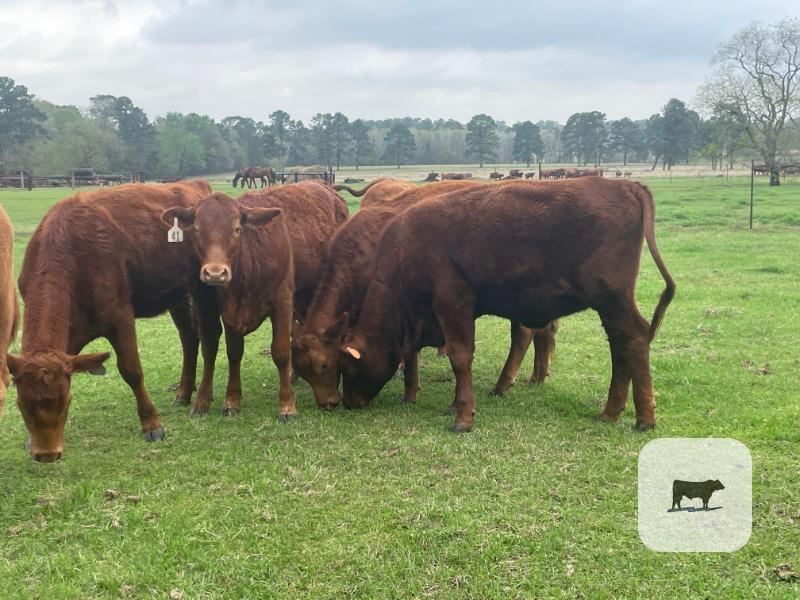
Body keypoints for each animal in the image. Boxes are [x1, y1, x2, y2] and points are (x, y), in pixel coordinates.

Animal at [7, 181, 216, 462]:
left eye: (66, 401)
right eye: (21, 405)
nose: (47, 454)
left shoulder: (120, 315)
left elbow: (132, 371)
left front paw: (152, 425)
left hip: (202, 286)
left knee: (206, 336)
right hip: (176, 294)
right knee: (188, 337)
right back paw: (183, 392)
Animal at [162, 181, 347, 418]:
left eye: (237, 229)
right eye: (196, 230)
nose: (215, 273)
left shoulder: (282, 301)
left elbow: (280, 351)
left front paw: (287, 405)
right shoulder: (214, 306)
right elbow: (225, 350)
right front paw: (223, 400)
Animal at [292, 180, 558, 410]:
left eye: (325, 364)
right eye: (304, 370)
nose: (327, 403)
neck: (365, 252)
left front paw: (410, 391)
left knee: (523, 333)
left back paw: (503, 384)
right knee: (543, 331)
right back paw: (538, 376)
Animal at [337, 178, 675, 433]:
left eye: (348, 366)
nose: (348, 403)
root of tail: (627, 186)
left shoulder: (453, 303)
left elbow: (461, 357)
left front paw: (463, 418)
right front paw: (454, 405)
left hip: (612, 300)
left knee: (633, 339)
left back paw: (643, 418)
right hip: (610, 306)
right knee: (621, 344)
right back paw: (612, 412)